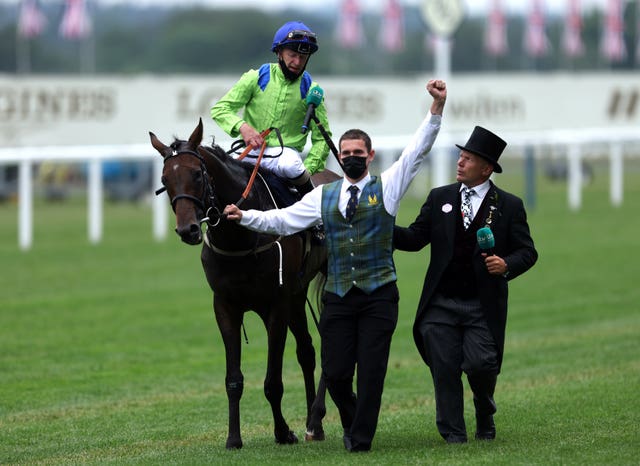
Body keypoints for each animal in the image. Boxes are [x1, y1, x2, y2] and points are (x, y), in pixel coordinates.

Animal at [150, 118, 340, 450]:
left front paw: (282, 432)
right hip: (296, 295)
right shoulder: (226, 306)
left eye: (197, 174)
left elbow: (273, 381)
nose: (188, 230)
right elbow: (233, 380)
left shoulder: (274, 306)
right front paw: (233, 438)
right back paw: (311, 421)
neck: (240, 235)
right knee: (306, 351)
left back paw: (315, 419)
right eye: (165, 178)